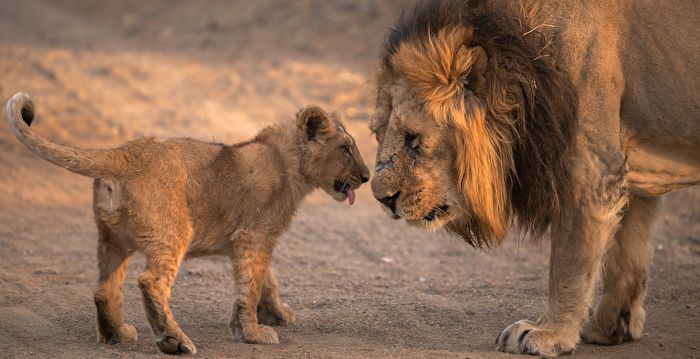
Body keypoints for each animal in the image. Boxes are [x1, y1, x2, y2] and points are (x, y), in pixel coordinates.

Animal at [370, 0, 696, 358]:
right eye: (376, 133)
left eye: (413, 139)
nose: (382, 199)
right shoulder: (629, 167)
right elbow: (627, 256)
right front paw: (610, 327)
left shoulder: (589, 170)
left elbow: (568, 263)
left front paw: (549, 333)